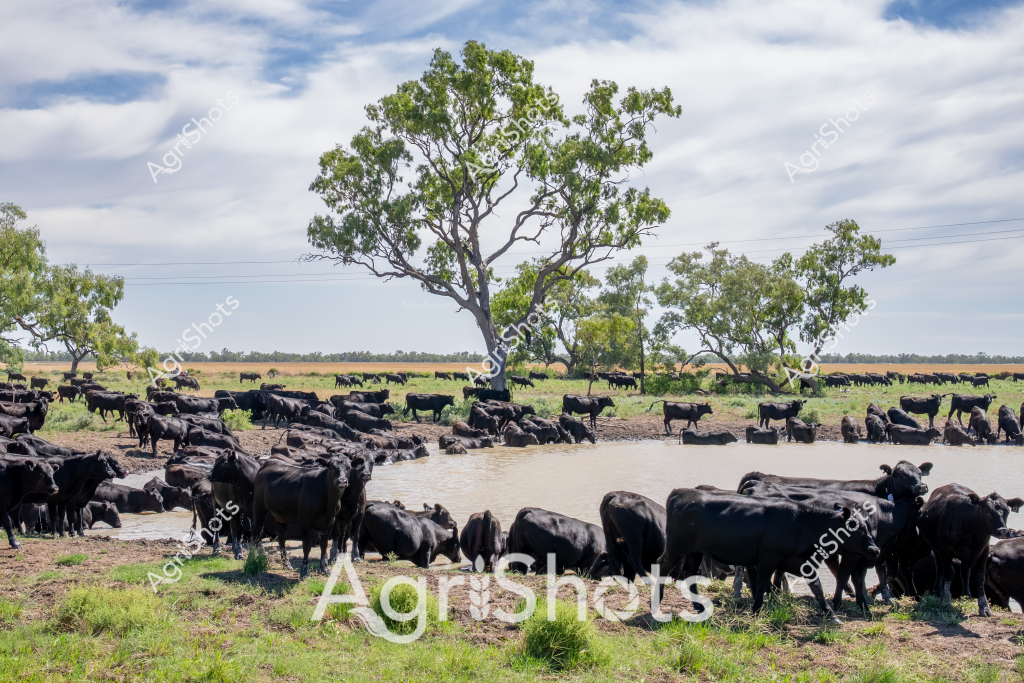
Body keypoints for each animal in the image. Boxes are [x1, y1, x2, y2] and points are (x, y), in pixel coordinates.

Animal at [918, 483, 1024, 615]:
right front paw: (946, 600)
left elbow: (979, 576)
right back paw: (938, 592)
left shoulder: (983, 550)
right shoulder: (946, 551)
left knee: (965, 572)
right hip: (936, 550)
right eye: (987, 510)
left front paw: (984, 607)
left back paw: (966, 596)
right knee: (940, 568)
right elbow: (949, 574)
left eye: (1007, 511)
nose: (1003, 531)